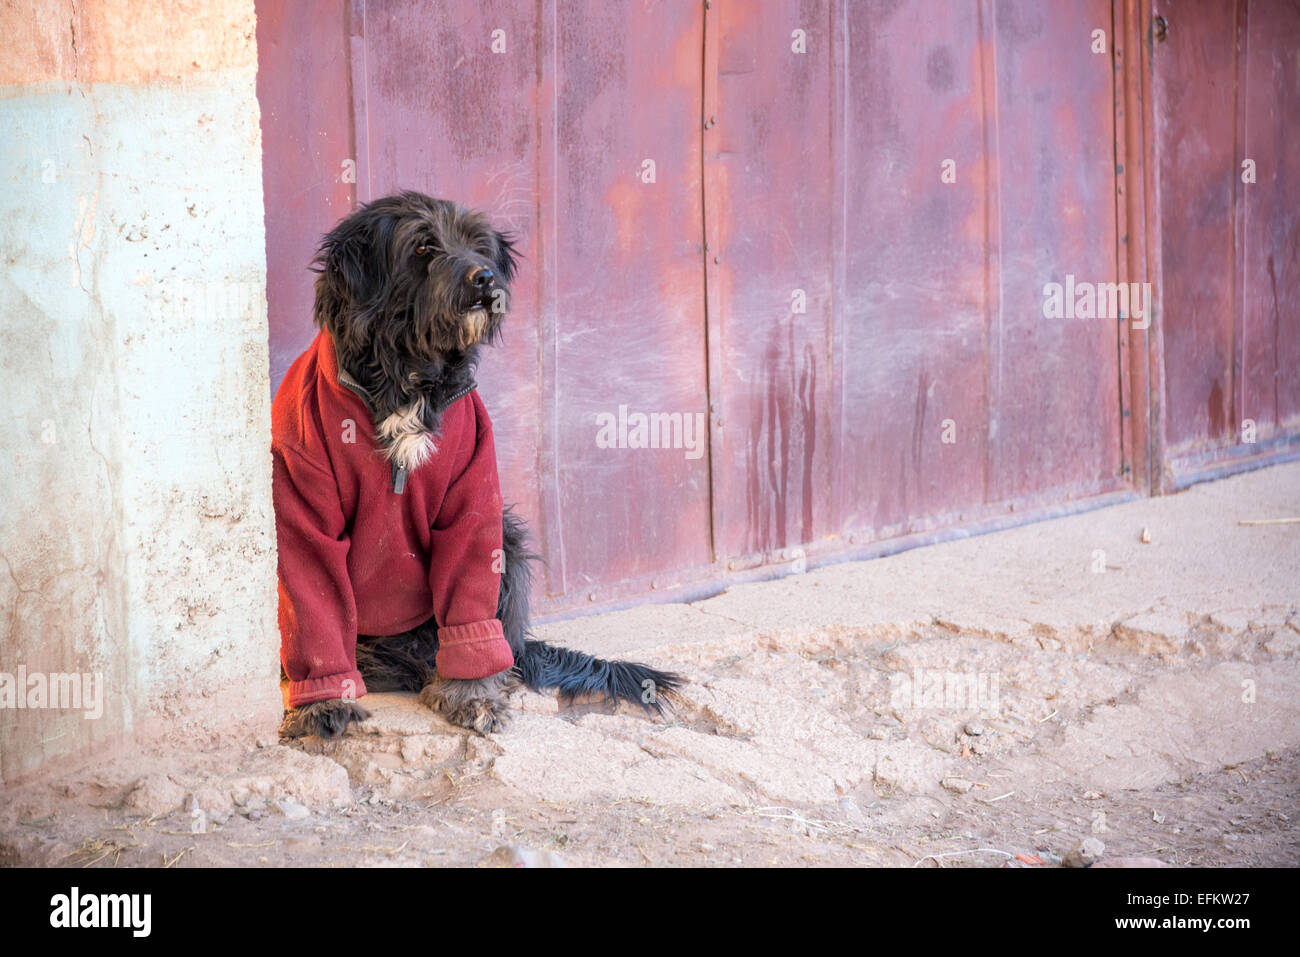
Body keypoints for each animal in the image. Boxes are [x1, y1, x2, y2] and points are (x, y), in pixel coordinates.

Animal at [274, 188, 681, 738]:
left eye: (478, 245)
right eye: (423, 247)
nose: (485, 277)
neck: (406, 374)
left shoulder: (473, 500)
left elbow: (468, 592)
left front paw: (472, 694)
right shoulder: (300, 501)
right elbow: (314, 602)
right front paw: (319, 705)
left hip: (507, 539)